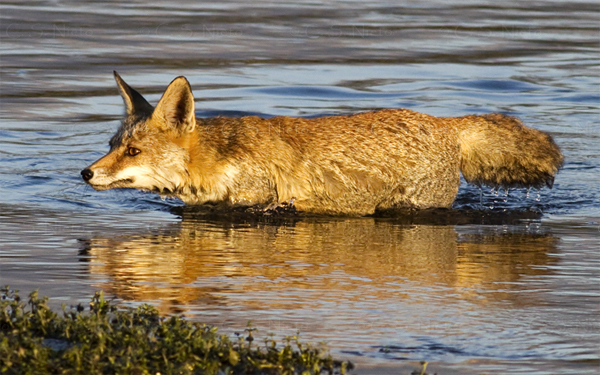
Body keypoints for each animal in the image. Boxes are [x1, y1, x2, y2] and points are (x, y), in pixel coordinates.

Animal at [82, 72, 564, 216]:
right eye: (111, 144)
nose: (85, 173)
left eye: (133, 152)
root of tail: (445, 122)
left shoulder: (266, 204)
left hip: (411, 208)